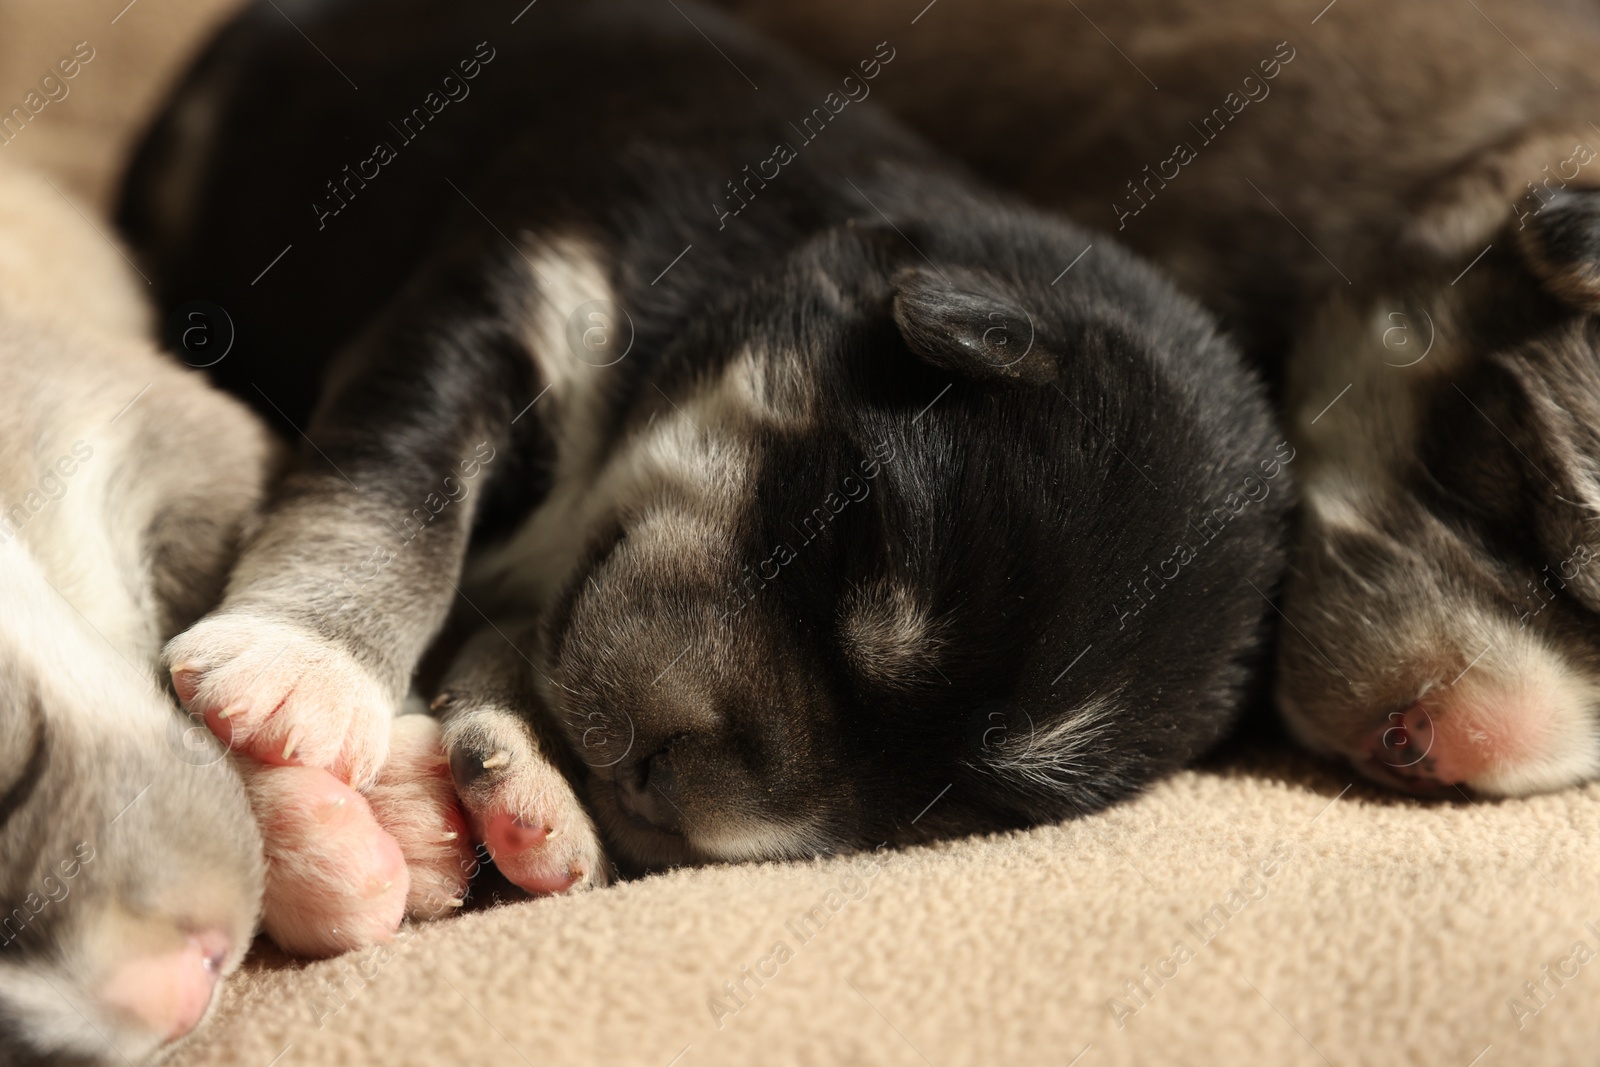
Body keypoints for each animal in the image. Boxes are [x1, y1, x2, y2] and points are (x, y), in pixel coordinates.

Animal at [116, 0, 1286, 927]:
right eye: (856, 538)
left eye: (953, 806)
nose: (661, 785)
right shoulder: (509, 306)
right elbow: (403, 492)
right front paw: (304, 668)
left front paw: (533, 785)